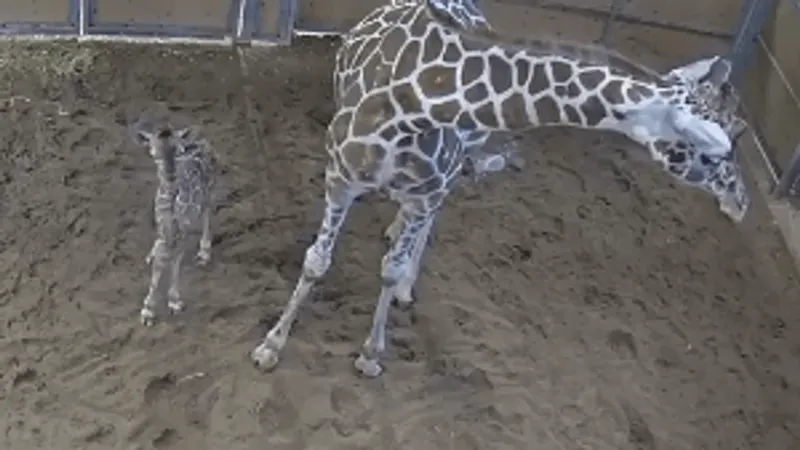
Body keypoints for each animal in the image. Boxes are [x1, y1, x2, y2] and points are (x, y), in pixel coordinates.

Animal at [131, 121, 216, 326]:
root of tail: (201, 141)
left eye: (177, 151)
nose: (169, 175)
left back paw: (204, 253)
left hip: (210, 188)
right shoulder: (165, 230)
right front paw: (149, 310)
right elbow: (162, 259)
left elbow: (175, 259)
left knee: (208, 214)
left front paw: (172, 302)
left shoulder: (181, 232)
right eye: (153, 153)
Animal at [251, 0, 750, 377]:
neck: (417, 105)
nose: (742, 203)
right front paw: (272, 344)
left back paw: (408, 275)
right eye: (714, 152)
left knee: (429, 217)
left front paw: (373, 351)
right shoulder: (341, 177)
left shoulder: (428, 188)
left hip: (449, 170)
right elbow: (316, 261)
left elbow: (390, 269)